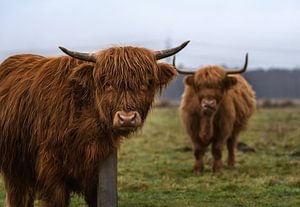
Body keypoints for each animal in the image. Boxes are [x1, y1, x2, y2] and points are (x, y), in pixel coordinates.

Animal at [0, 40, 189, 207]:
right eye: (107, 83)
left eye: (146, 83)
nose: (127, 118)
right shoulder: (51, 171)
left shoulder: (97, 172)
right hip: (14, 168)